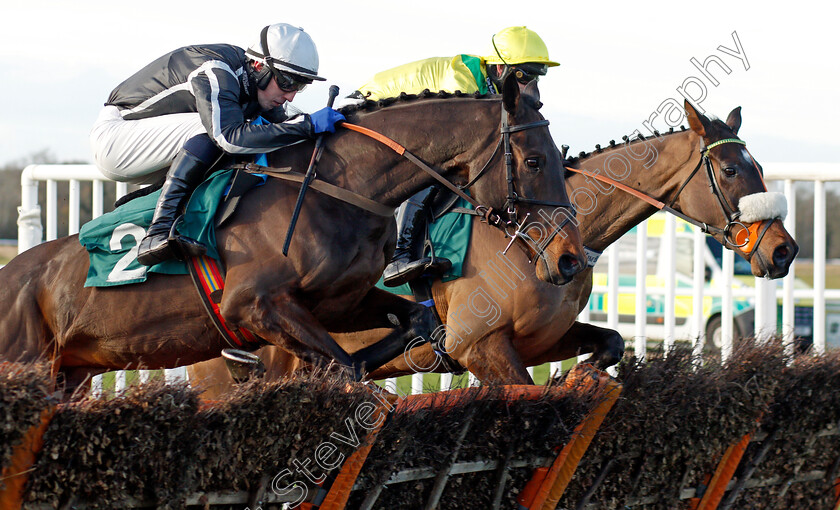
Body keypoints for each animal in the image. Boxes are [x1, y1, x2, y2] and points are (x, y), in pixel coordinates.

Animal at [0, 76, 584, 394]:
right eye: (535, 161)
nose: (571, 258)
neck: (341, 188)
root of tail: (13, 275)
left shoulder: (337, 304)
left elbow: (408, 325)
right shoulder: (254, 305)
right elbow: (343, 368)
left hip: (71, 373)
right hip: (27, 366)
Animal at [190, 99, 800, 394]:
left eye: (759, 167)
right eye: (730, 169)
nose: (783, 252)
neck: (532, 242)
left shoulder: (535, 341)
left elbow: (609, 343)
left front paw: (576, 377)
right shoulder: (478, 347)